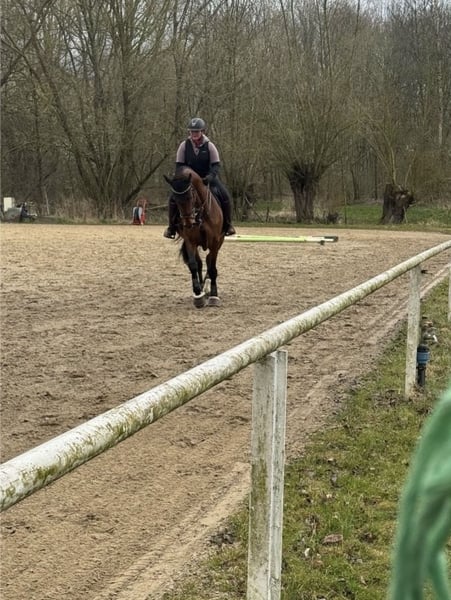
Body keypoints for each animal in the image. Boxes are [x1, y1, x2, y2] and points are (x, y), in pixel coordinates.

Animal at [164, 167, 224, 308]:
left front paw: (214, 295)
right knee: (200, 263)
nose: (188, 223)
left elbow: (212, 267)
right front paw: (198, 294)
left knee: (208, 261)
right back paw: (201, 289)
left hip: (219, 242)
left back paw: (207, 289)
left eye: (190, 196)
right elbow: (193, 265)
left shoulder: (215, 242)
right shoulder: (190, 241)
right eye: (174, 200)